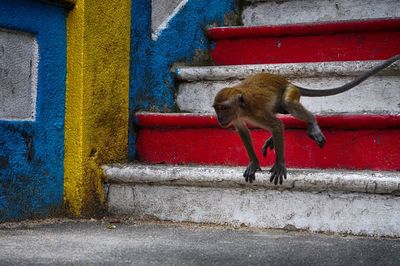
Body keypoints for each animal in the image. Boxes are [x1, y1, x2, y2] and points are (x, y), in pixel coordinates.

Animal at [212, 54, 400, 185]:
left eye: (223, 108)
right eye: (217, 109)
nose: (219, 118)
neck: (243, 108)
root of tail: (288, 81)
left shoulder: (257, 112)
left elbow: (277, 125)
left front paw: (279, 164)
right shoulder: (236, 118)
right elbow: (243, 131)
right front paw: (254, 162)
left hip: (290, 91)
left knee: (288, 105)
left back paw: (312, 122)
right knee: (282, 110)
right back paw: (273, 139)